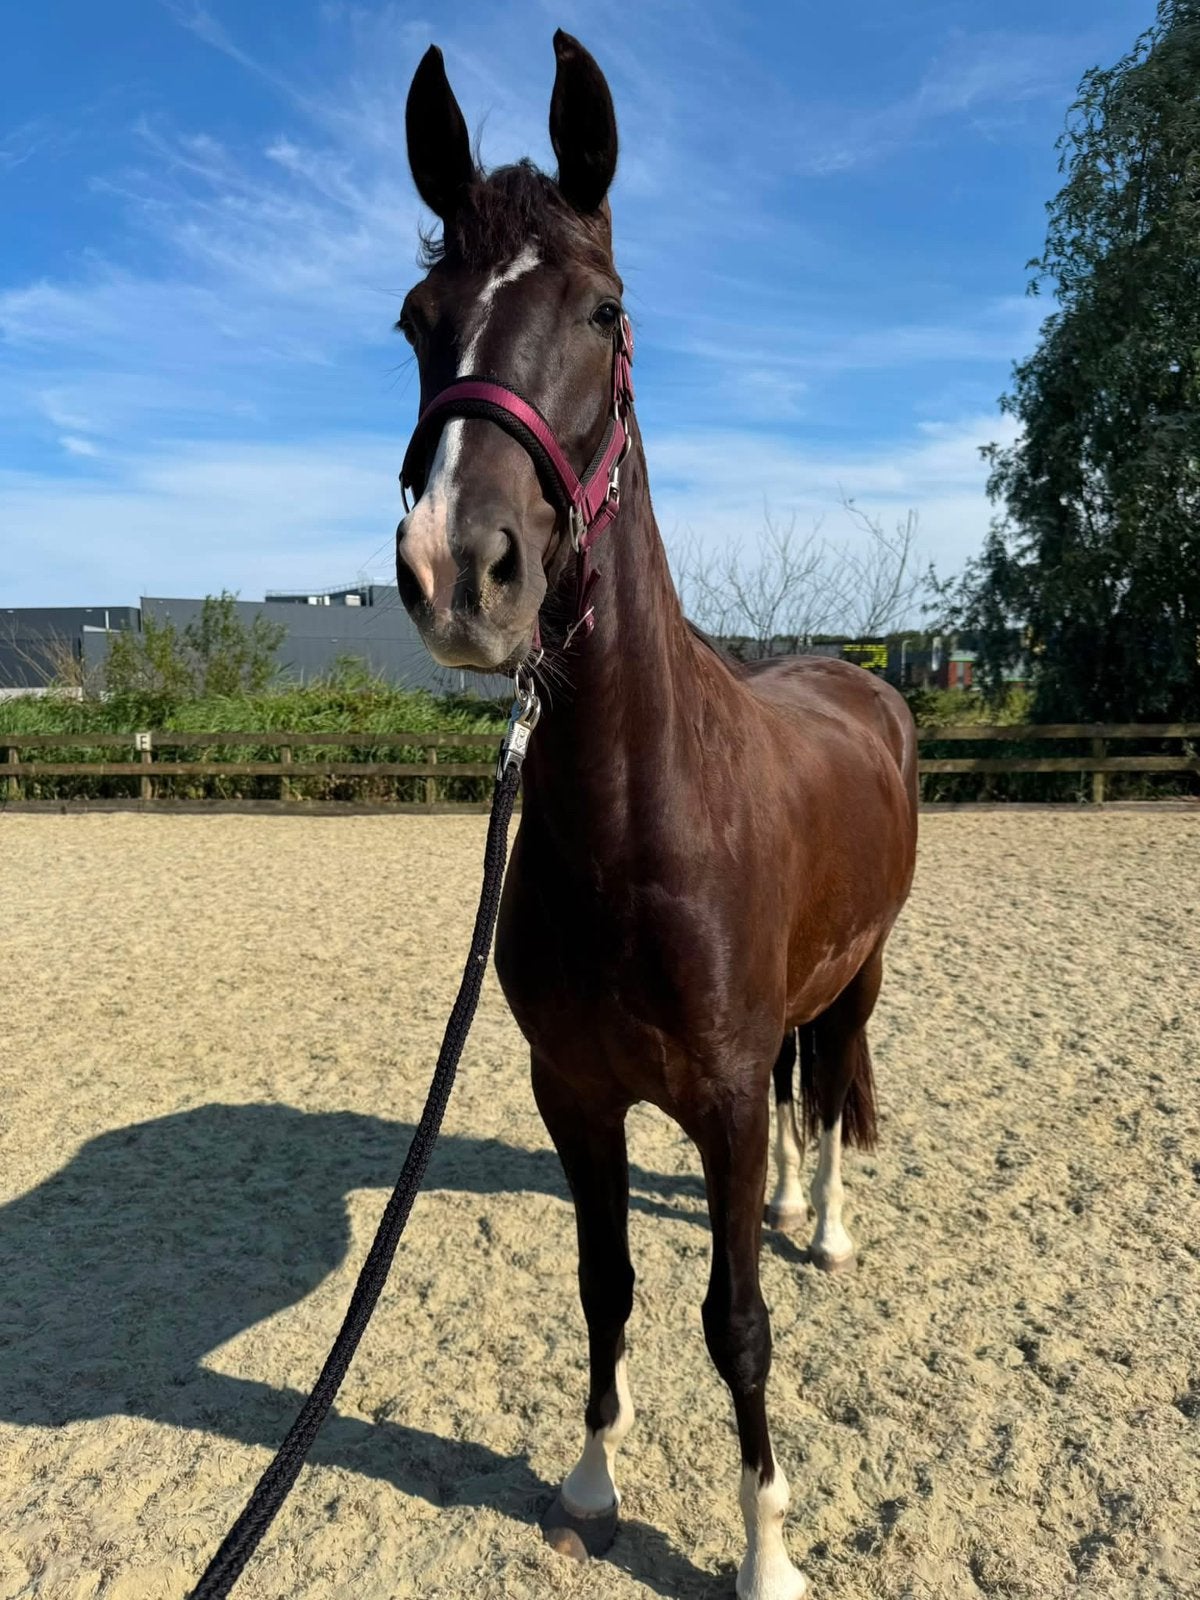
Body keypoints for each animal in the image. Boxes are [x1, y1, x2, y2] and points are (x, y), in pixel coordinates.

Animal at [394, 32, 918, 1599]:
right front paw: (587, 1481)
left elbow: (735, 1321)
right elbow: (607, 1280)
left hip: (860, 977)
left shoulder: (725, 1100)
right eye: (416, 321)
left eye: (607, 310)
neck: (639, 826)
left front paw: (766, 1551)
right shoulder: (575, 1091)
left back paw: (828, 1226)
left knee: (833, 1091)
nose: (461, 569)